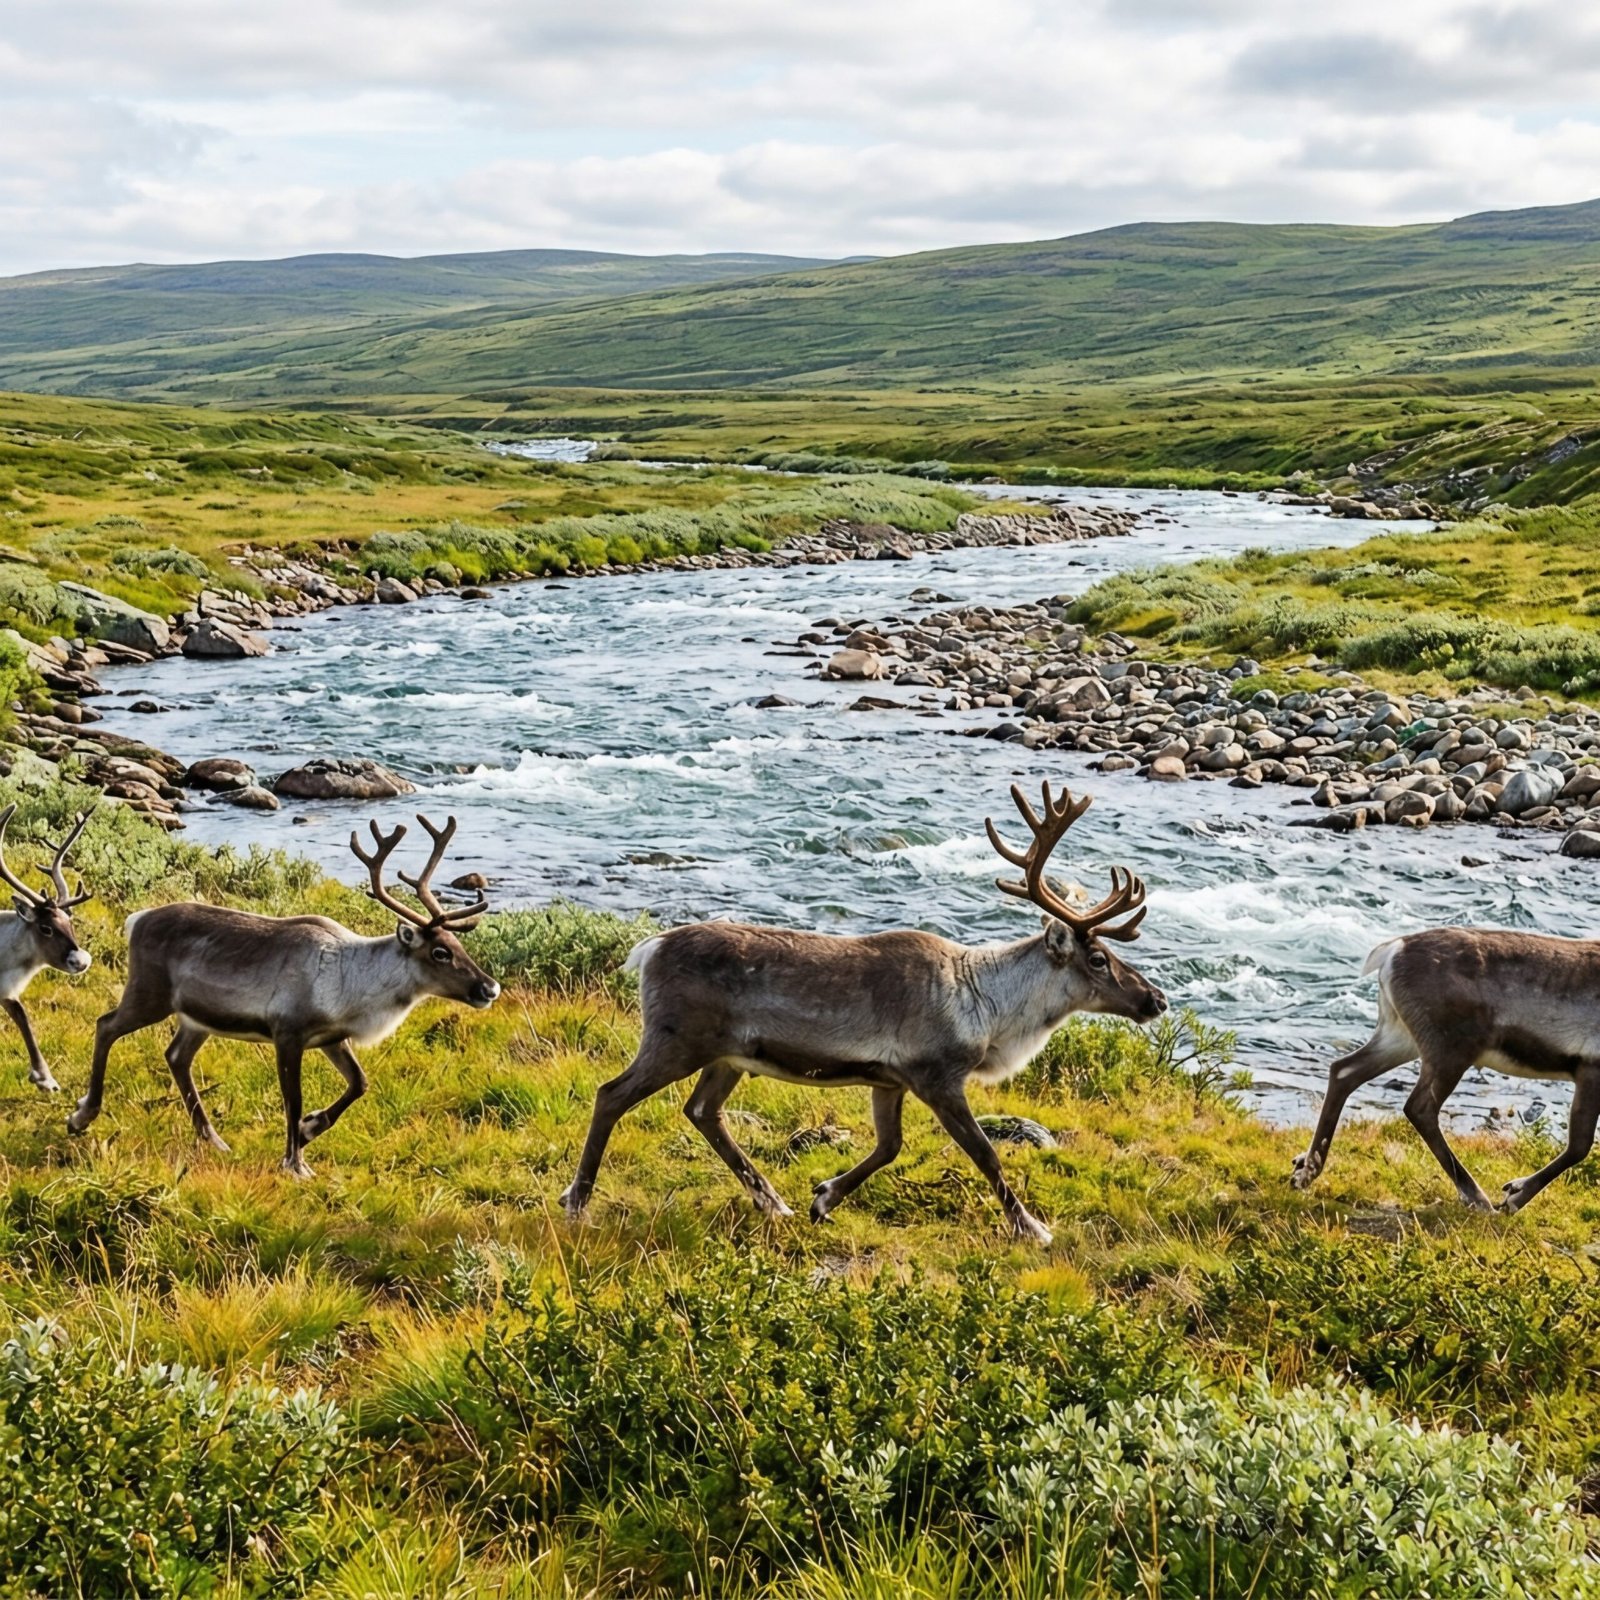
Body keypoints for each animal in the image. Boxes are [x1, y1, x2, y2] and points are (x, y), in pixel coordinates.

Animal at [0, 804, 93, 1093]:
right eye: (46, 928)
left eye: (70, 921)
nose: (82, 960)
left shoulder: (6, 991)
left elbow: (24, 1019)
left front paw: (45, 1078)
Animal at [66, 813, 500, 1175]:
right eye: (440, 952)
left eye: (460, 945)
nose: (490, 987)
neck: (352, 986)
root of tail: (135, 919)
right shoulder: (287, 1032)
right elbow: (293, 1098)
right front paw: (295, 1163)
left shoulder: (331, 1038)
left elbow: (359, 1083)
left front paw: (310, 1130)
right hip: (148, 993)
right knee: (106, 1025)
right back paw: (82, 1115)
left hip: (196, 1017)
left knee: (176, 1057)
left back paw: (214, 1140)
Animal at [561, 780, 1166, 1243]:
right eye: (1097, 958)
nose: (1155, 1000)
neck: (987, 1009)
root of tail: (649, 947)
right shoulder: (936, 1077)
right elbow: (986, 1154)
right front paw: (1033, 1229)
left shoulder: (888, 1080)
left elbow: (889, 1147)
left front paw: (823, 1197)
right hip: (677, 1039)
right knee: (612, 1095)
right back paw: (577, 1200)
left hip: (727, 1057)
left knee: (703, 1111)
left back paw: (772, 1201)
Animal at [1293, 927, 1600, 1214]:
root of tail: (1393, 951)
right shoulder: (1590, 1068)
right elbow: (1579, 1147)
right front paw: (1514, 1196)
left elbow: (1580, 1147)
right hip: (1451, 1050)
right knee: (1419, 1107)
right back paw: (1477, 1197)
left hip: (1401, 1037)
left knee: (1343, 1071)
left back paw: (1305, 1170)